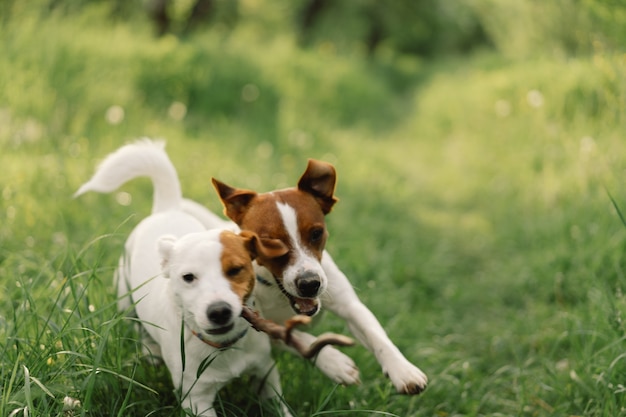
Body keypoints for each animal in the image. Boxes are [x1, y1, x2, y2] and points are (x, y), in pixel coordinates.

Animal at [75, 140, 292, 416]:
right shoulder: (196, 398)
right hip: (126, 302)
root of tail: (167, 209)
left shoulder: (266, 373)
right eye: (188, 277)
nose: (219, 311)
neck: (222, 347)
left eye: (235, 270)